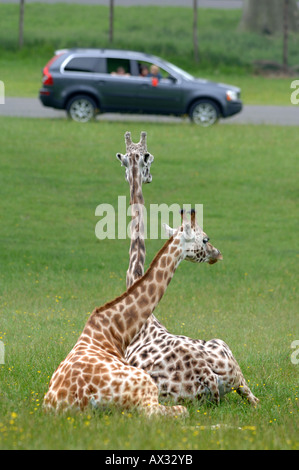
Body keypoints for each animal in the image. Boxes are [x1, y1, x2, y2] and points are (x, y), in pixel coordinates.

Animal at [43, 210, 224, 414]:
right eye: (205, 239)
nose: (217, 254)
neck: (114, 332)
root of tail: (81, 399)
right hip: (149, 391)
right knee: (178, 411)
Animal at [118, 133, 260, 408]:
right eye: (134, 159)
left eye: (147, 157)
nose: (217, 253)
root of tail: (208, 376)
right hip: (233, 367)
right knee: (254, 399)